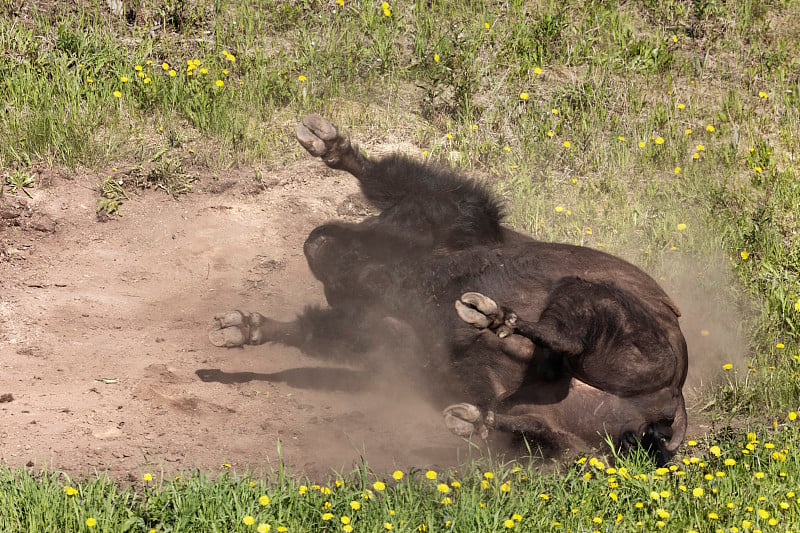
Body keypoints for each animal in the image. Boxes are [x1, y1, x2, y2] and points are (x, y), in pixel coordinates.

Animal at [211, 114, 688, 464]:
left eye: (392, 222)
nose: (318, 242)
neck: (404, 268)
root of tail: (674, 404)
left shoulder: (458, 215)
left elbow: (412, 184)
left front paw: (325, 141)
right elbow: (325, 332)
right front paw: (240, 327)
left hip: (597, 306)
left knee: (567, 334)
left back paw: (490, 316)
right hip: (552, 431)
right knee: (523, 413)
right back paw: (469, 418)